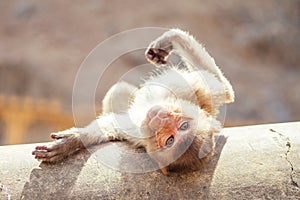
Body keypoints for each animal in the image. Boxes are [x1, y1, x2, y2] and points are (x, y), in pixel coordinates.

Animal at [32, 28, 234, 174]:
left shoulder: (139, 132)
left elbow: (113, 125)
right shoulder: (199, 94)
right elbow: (225, 91)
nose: (160, 118)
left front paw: (73, 141)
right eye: (183, 125)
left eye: (170, 140)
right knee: (119, 90)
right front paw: (170, 38)